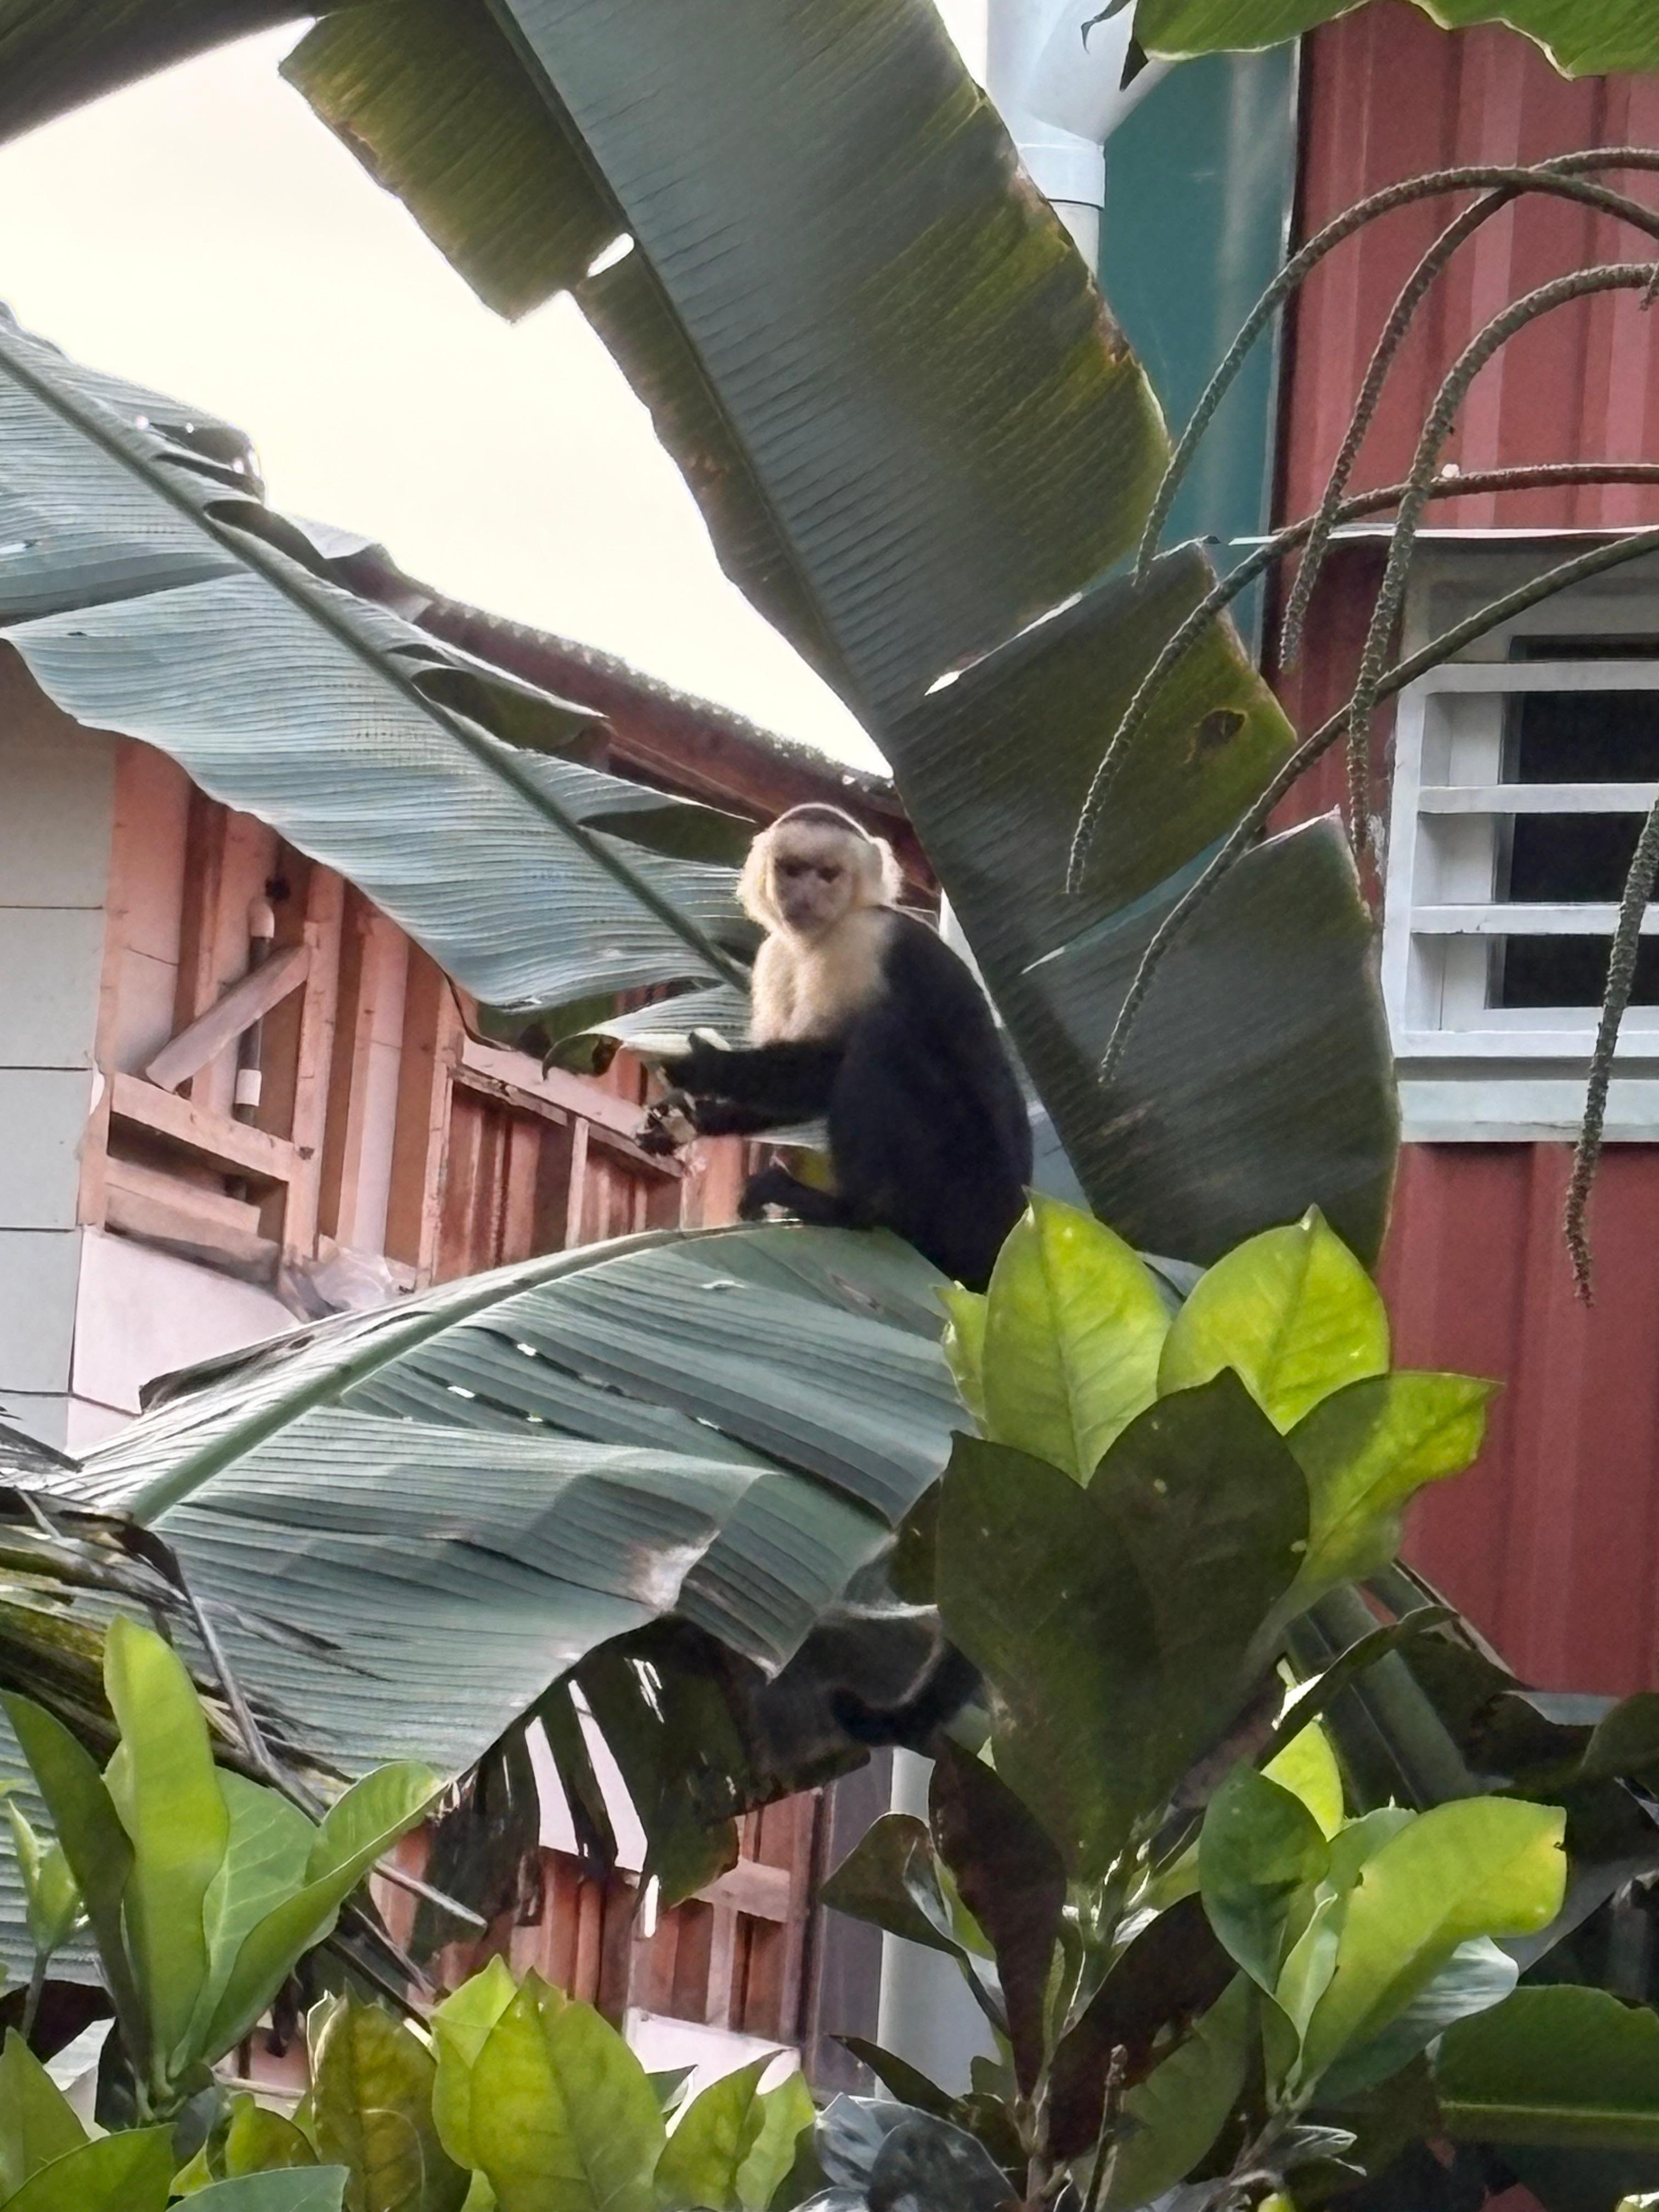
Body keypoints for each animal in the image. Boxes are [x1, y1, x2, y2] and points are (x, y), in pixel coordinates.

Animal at [637, 803, 1032, 1292]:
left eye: (828, 875)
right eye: (792, 869)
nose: (805, 895)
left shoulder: (862, 940)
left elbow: (827, 1064)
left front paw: (705, 1067)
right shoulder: (776, 954)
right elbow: (807, 1090)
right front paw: (690, 1119)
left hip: (964, 1190)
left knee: (882, 1039)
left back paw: (850, 1211)